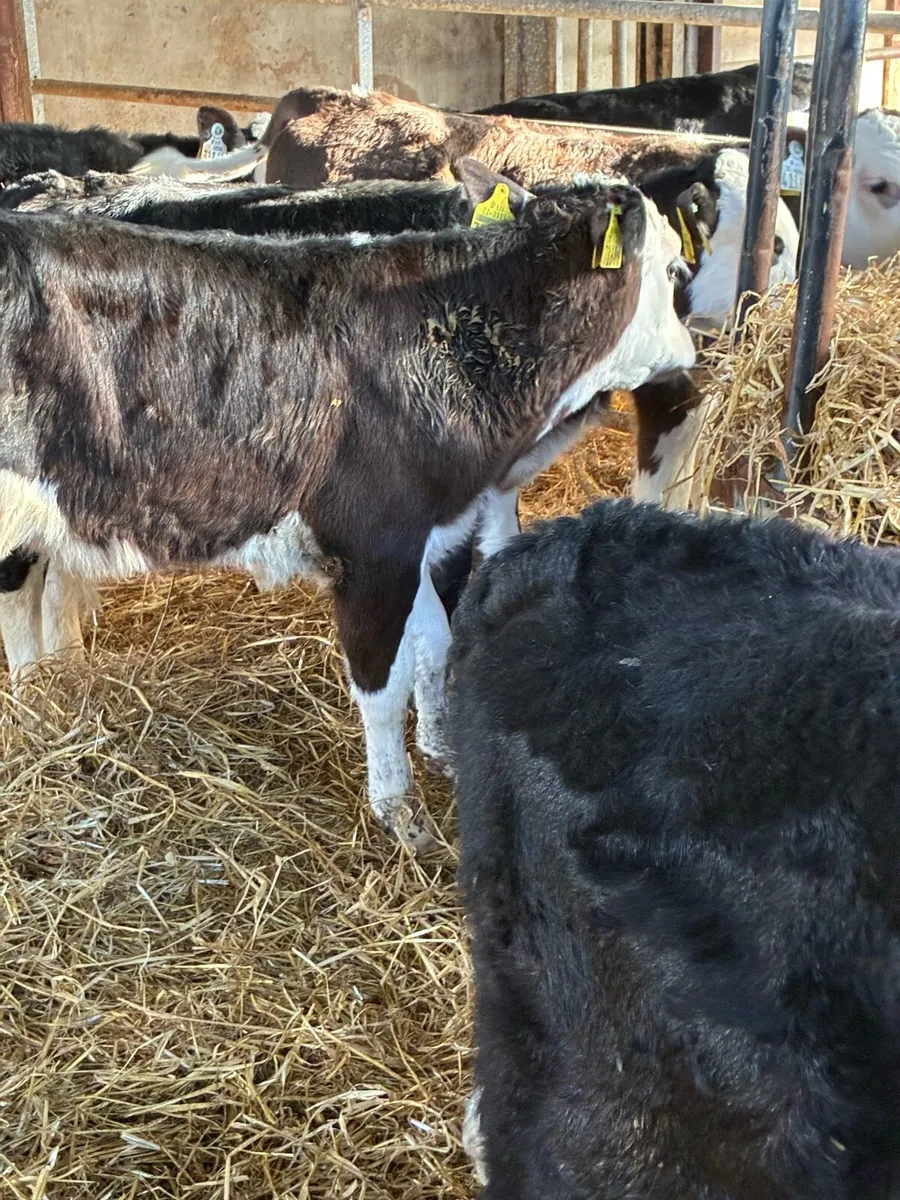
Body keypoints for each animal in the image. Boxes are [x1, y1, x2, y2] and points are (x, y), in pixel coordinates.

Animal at [0, 173, 695, 848]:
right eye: (673, 270)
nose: (691, 357)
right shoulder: (373, 546)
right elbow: (382, 685)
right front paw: (399, 809)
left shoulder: (423, 534)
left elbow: (435, 641)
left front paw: (441, 749)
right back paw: (39, 706)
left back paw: (54, 694)